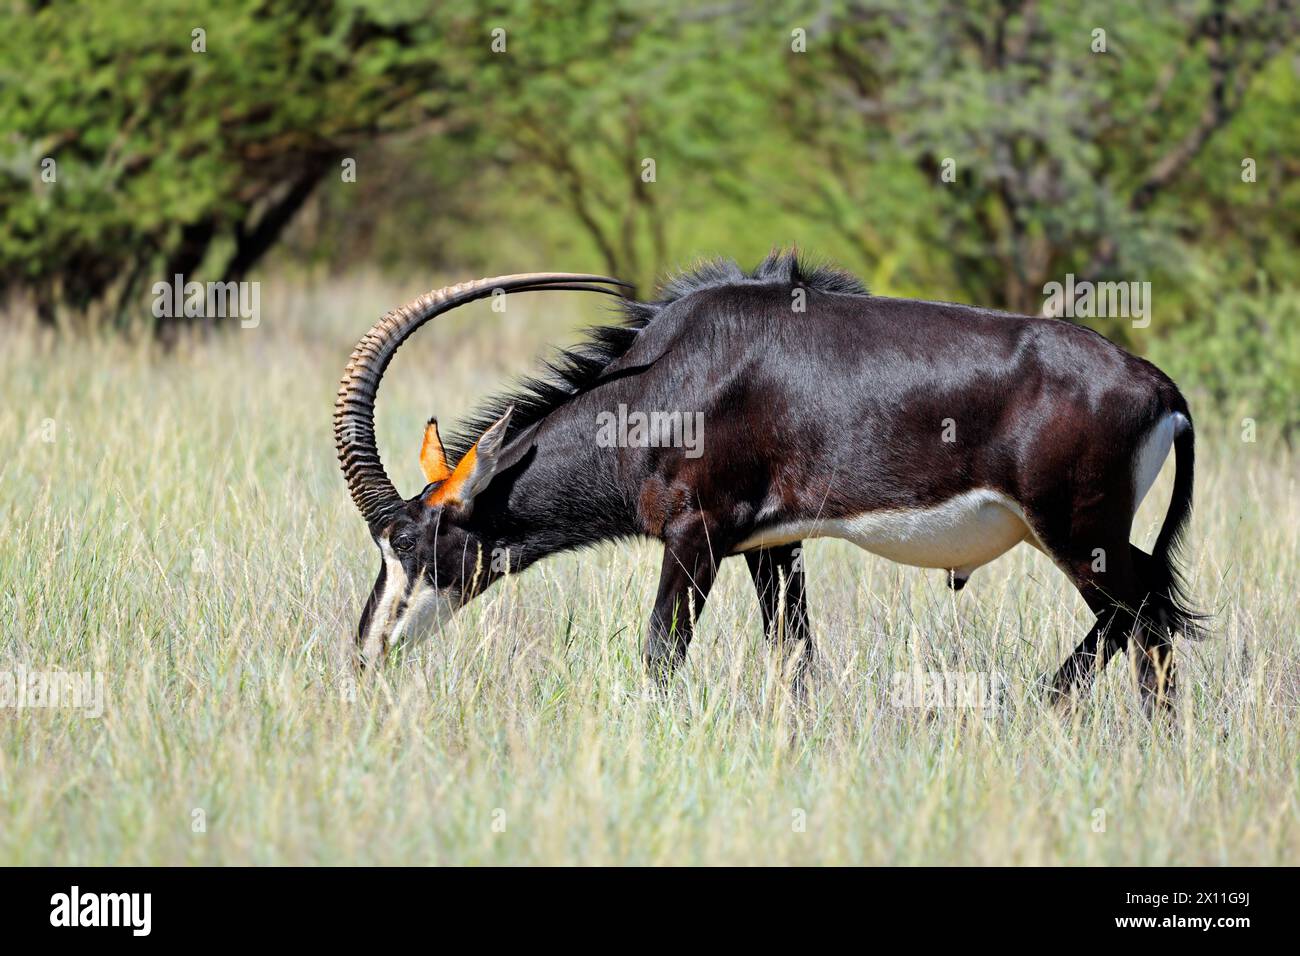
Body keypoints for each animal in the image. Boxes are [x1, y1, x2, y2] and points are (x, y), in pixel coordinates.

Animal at [335, 252, 1196, 712]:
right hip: (1090, 540)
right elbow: (795, 654)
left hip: (1077, 535)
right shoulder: (770, 545)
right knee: (1142, 617)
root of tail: (1157, 386)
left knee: (1143, 619)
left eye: (410, 540)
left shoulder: (697, 534)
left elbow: (662, 652)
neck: (668, 378)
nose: (366, 655)